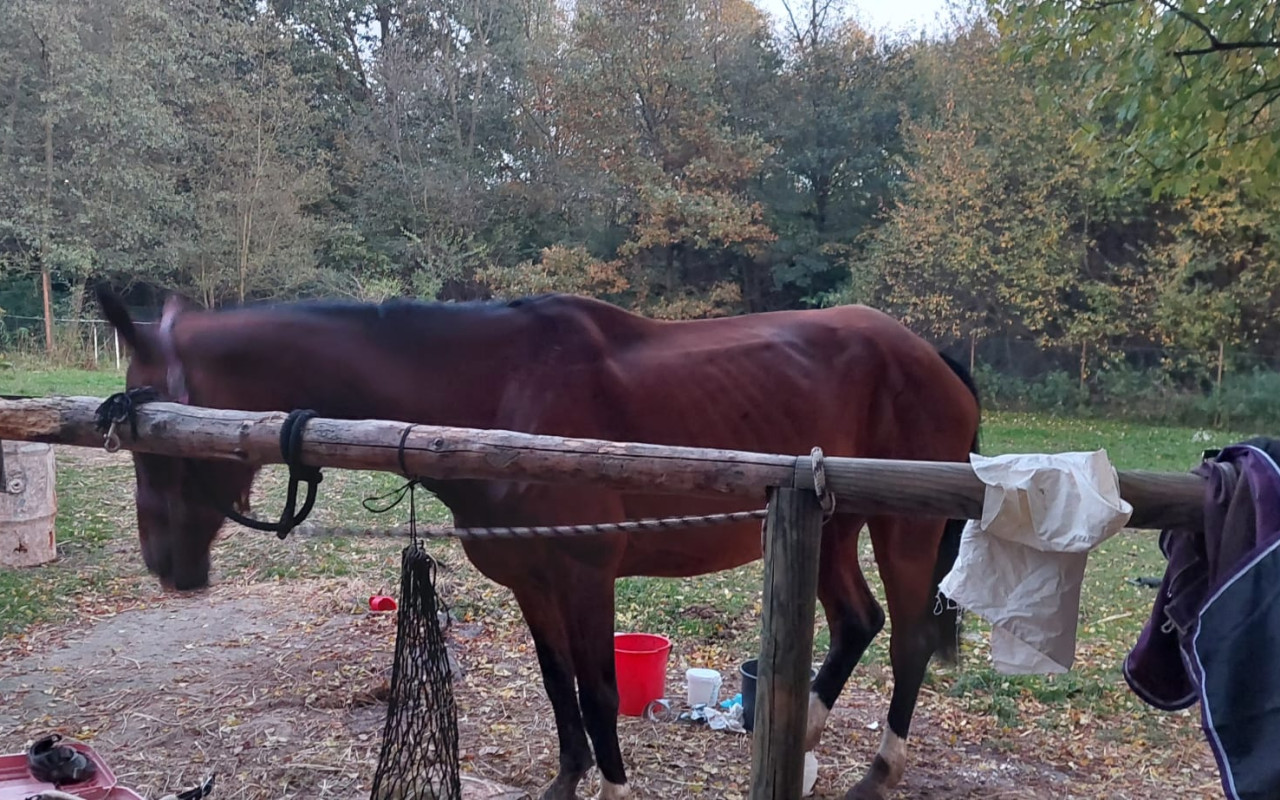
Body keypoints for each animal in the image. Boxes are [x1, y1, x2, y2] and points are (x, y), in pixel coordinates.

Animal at [97, 290, 977, 798]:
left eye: (162, 434)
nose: (167, 566)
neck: (499, 398)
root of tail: (932, 354)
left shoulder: (587, 577)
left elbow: (598, 695)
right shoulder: (530, 580)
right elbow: (559, 691)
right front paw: (567, 781)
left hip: (901, 528)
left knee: (906, 639)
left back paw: (877, 772)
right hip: (830, 523)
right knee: (858, 623)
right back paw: (806, 745)